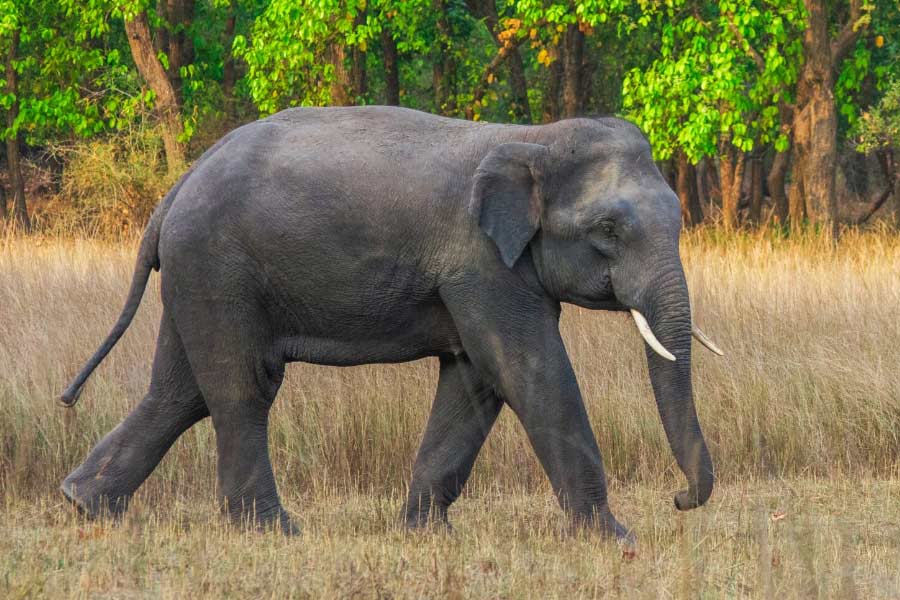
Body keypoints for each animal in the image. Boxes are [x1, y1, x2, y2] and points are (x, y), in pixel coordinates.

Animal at [59, 105, 720, 540]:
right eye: (608, 230)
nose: (679, 499)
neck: (532, 139)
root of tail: (175, 190)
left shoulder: (478, 274)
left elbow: (475, 380)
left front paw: (425, 534)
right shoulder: (481, 262)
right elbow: (530, 372)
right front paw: (615, 539)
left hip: (197, 275)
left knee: (179, 392)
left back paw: (86, 506)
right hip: (219, 269)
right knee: (242, 387)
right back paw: (274, 531)